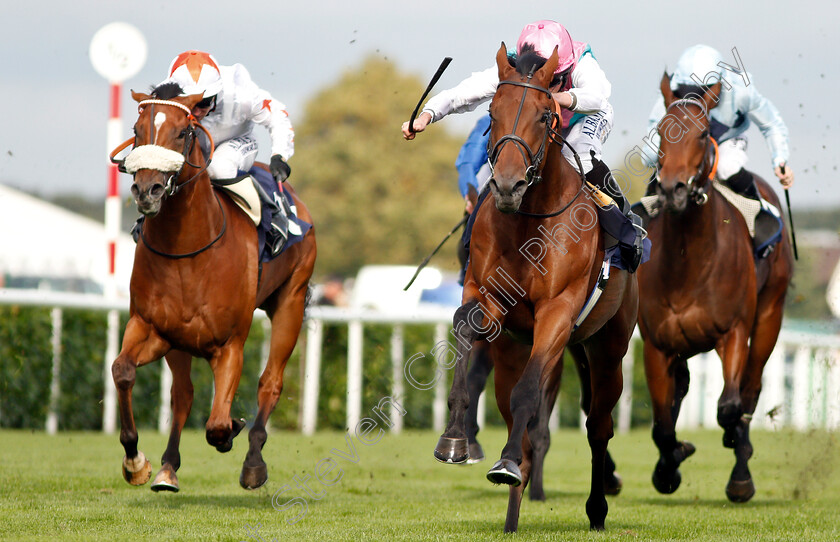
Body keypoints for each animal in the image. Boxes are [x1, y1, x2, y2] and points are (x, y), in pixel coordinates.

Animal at [106, 83, 314, 496]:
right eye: (137, 130)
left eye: (182, 133)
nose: (147, 190)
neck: (187, 249)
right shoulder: (152, 327)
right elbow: (122, 370)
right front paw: (136, 461)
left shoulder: (230, 343)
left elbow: (217, 424)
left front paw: (234, 428)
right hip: (180, 342)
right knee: (182, 394)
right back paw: (168, 468)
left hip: (292, 302)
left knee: (270, 383)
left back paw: (253, 463)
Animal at [434, 43, 636, 536]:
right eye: (492, 111)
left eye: (546, 115)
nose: (508, 185)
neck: (529, 221)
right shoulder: (487, 299)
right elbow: (464, 328)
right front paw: (455, 439)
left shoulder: (558, 313)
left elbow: (530, 396)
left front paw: (503, 463)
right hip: (513, 350)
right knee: (516, 415)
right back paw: (513, 513)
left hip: (607, 349)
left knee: (597, 426)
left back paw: (596, 509)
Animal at [640, 74, 792, 504]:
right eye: (662, 132)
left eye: (701, 132)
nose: (673, 189)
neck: (689, 262)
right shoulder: (657, 344)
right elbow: (662, 422)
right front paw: (669, 465)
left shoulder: (733, 332)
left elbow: (729, 406)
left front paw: (734, 449)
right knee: (683, 389)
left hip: (770, 316)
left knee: (751, 390)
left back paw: (741, 470)